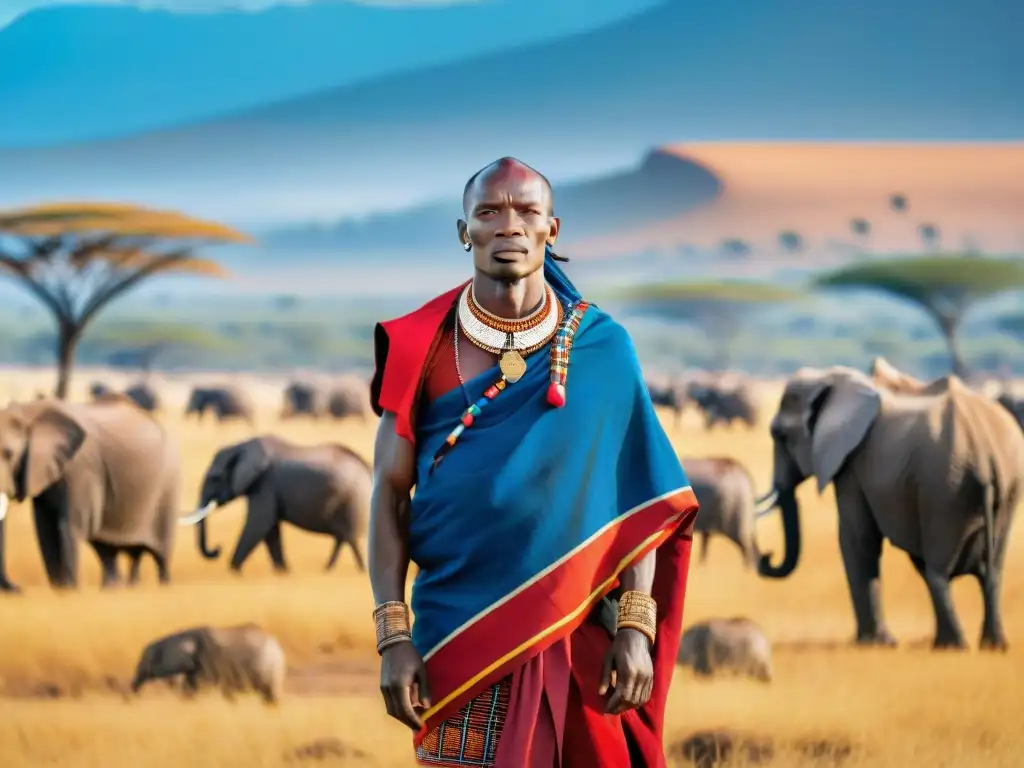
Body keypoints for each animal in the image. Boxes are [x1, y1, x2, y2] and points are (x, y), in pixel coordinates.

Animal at [0, 397, 180, 589]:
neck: (27, 409)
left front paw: (70, 590)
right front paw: (59, 590)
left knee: (161, 555)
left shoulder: (80, 468)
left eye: (9, 454)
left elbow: (69, 525)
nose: (18, 588)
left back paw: (163, 586)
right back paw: (114, 588)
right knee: (108, 550)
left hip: (168, 484)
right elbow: (45, 529)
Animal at [131, 622, 288, 708]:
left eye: (148, 658)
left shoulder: (208, 662)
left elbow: (204, 689)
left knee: (270, 694)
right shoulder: (194, 669)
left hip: (269, 669)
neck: (183, 635)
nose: (132, 694)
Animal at [181, 436, 372, 573]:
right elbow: (270, 529)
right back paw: (328, 570)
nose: (217, 550)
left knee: (352, 539)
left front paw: (233, 571)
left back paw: (361, 571)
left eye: (215, 478)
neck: (241, 446)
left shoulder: (265, 483)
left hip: (353, 500)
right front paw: (283, 572)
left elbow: (260, 524)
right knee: (342, 538)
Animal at [757, 364, 1019, 651]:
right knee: (991, 572)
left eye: (780, 435)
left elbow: (856, 539)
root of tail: (983, 453)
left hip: (944, 489)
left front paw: (872, 644)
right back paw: (992, 646)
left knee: (937, 573)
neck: (832, 380)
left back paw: (953, 647)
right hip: (1005, 488)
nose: (767, 556)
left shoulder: (851, 465)